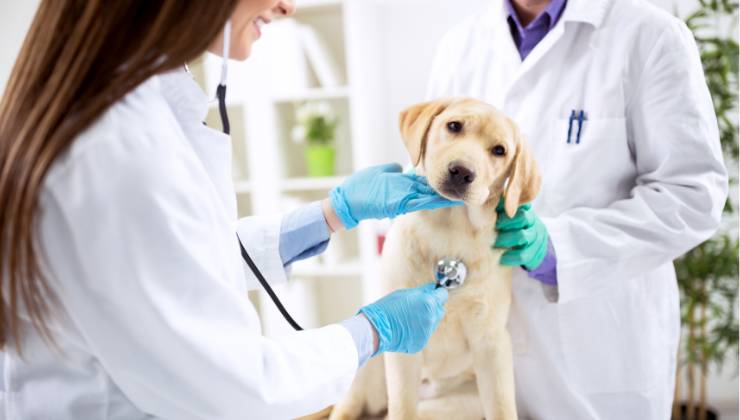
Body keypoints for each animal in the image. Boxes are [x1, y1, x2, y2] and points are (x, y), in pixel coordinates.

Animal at [332, 97, 540, 420]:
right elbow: (402, 408)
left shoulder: (492, 344)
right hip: (367, 374)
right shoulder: (402, 350)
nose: (462, 171)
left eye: (499, 151)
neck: (452, 230)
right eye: (454, 126)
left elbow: (503, 408)